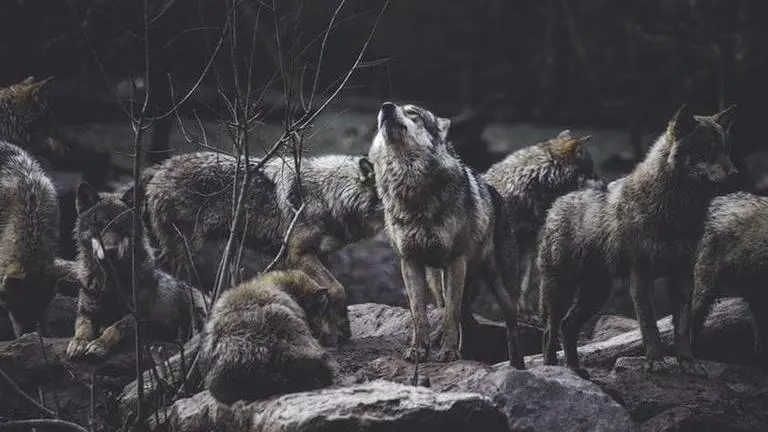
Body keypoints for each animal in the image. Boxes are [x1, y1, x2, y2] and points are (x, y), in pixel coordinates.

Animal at [66, 182, 206, 361]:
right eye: (99, 226)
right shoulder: (86, 312)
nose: (110, 251)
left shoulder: (137, 316)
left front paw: (99, 344)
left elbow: (114, 328)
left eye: (122, 229)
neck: (111, 282)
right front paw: (78, 343)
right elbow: (82, 329)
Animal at [141, 152, 383, 344]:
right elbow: (338, 288)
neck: (330, 194)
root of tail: (159, 168)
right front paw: (342, 329)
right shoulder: (298, 254)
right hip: (185, 252)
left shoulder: (318, 256)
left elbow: (322, 293)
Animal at [369, 101, 523, 367]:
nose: (386, 107)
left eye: (413, 113)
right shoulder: (409, 262)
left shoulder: (455, 261)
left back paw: (516, 365)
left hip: (495, 283)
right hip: (438, 282)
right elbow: (419, 315)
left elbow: (451, 315)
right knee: (465, 318)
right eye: (384, 112)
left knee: (508, 322)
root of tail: (495, 193)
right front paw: (419, 350)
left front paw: (448, 353)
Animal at [483, 130, 601, 314]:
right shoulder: (510, 243)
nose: (603, 183)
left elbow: (524, 283)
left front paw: (525, 309)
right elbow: (511, 284)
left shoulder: (529, 240)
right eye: (590, 172)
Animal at [538, 105, 736, 374]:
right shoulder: (640, 276)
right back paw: (553, 369)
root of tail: (558, 203)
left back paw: (575, 369)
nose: (734, 172)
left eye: (725, 149)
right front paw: (656, 362)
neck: (677, 209)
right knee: (550, 330)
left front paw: (688, 363)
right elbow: (649, 326)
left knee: (568, 326)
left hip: (596, 294)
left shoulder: (683, 276)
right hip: (562, 290)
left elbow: (682, 328)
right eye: (706, 148)